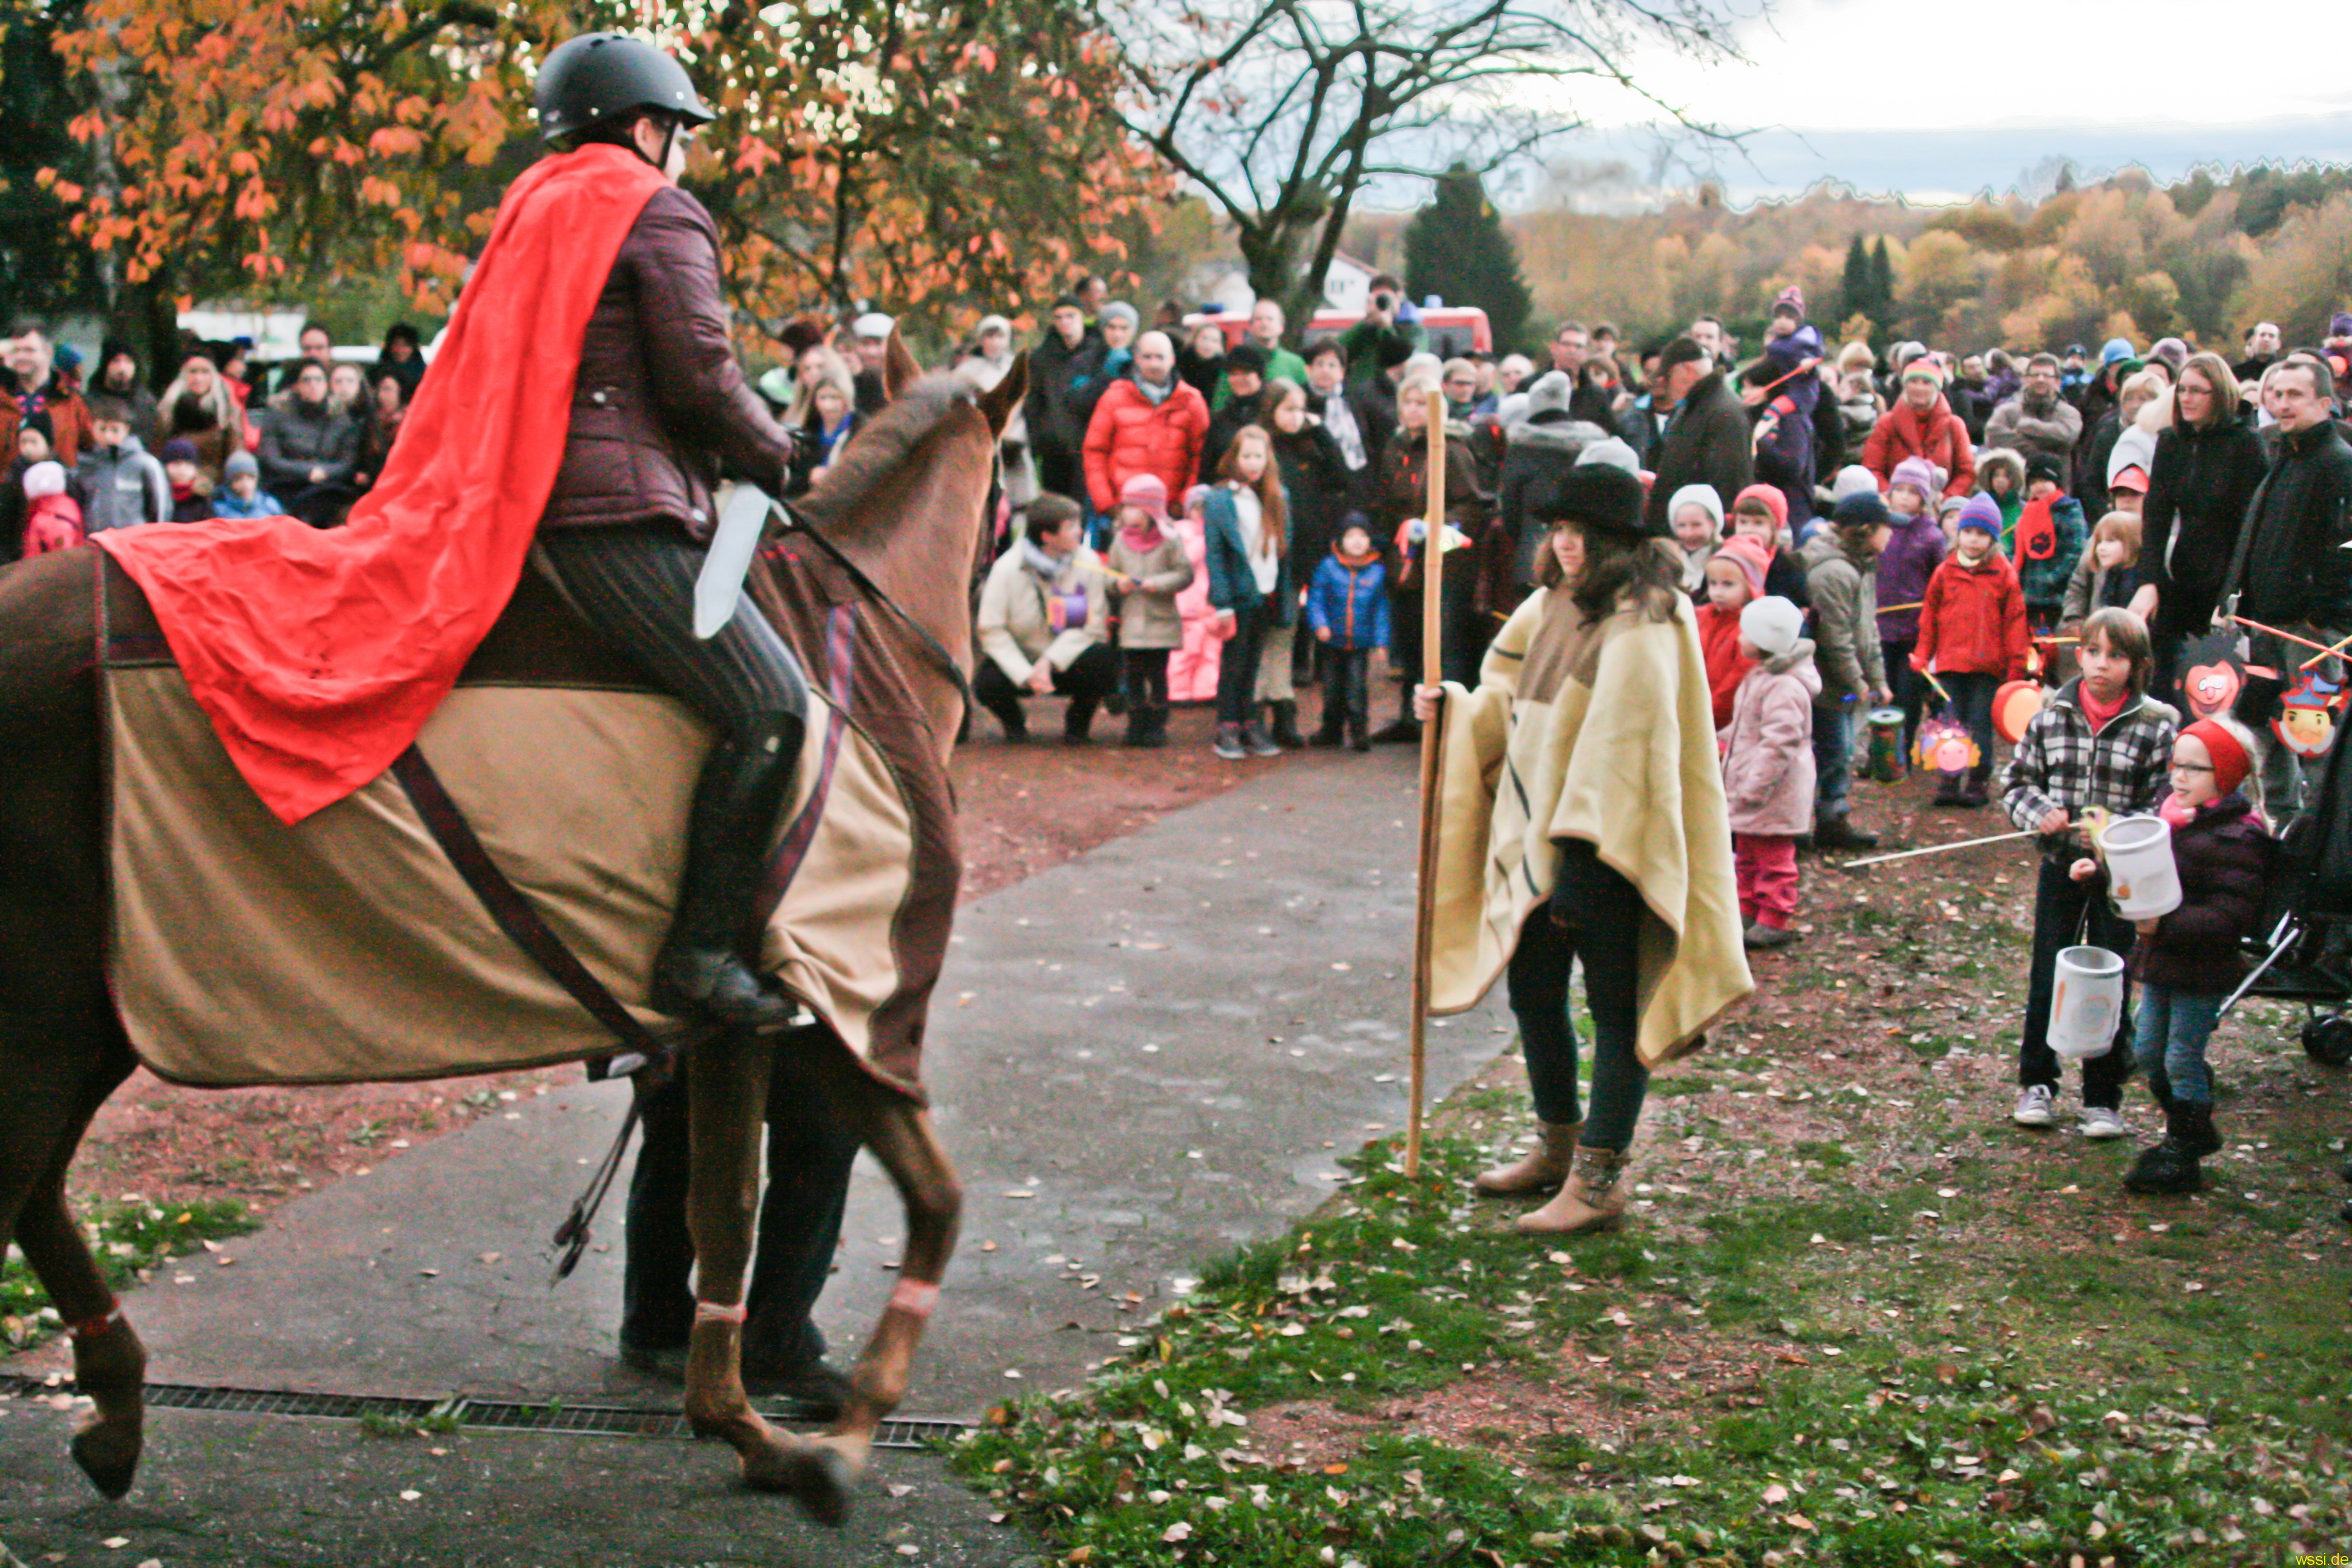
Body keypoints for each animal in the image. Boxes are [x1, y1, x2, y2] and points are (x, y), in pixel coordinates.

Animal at [0, 338, 1021, 1523]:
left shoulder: (739, 1029)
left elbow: (721, 1211)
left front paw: (745, 1425)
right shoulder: (832, 1010)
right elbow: (919, 1200)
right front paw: (836, 1435)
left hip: (85, 1017)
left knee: (37, 1192)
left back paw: (117, 1411)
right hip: (44, 1016)